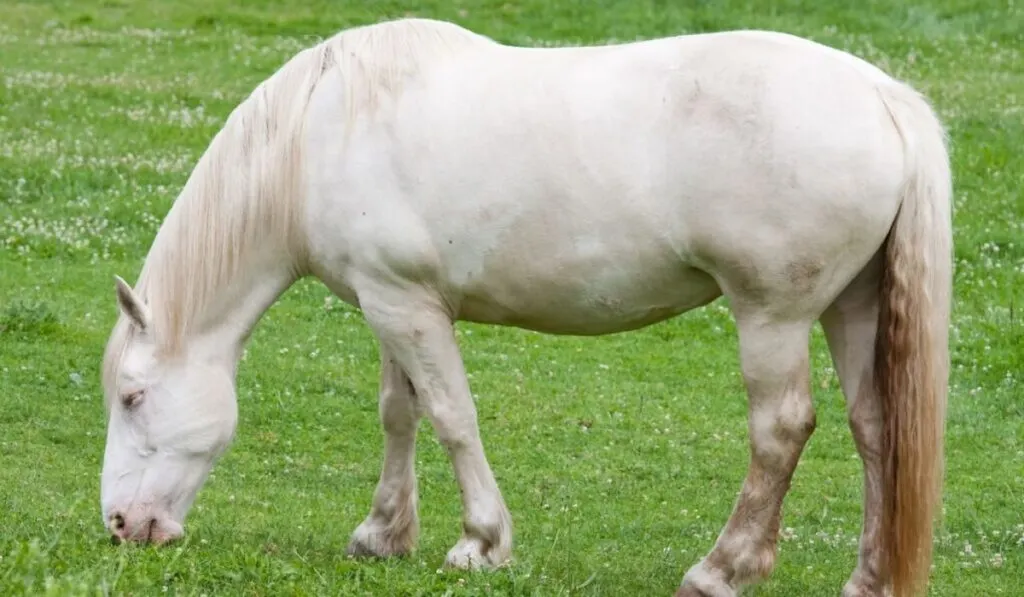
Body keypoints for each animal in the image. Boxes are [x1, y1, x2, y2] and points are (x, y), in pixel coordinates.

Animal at [97, 17, 950, 597]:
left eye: (133, 396)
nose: (122, 526)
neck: (319, 134)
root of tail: (883, 97)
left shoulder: (406, 306)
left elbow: (450, 415)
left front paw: (480, 541)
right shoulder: (389, 304)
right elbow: (399, 412)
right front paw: (383, 532)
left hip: (773, 316)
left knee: (780, 430)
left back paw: (721, 567)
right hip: (851, 307)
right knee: (876, 427)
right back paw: (868, 576)